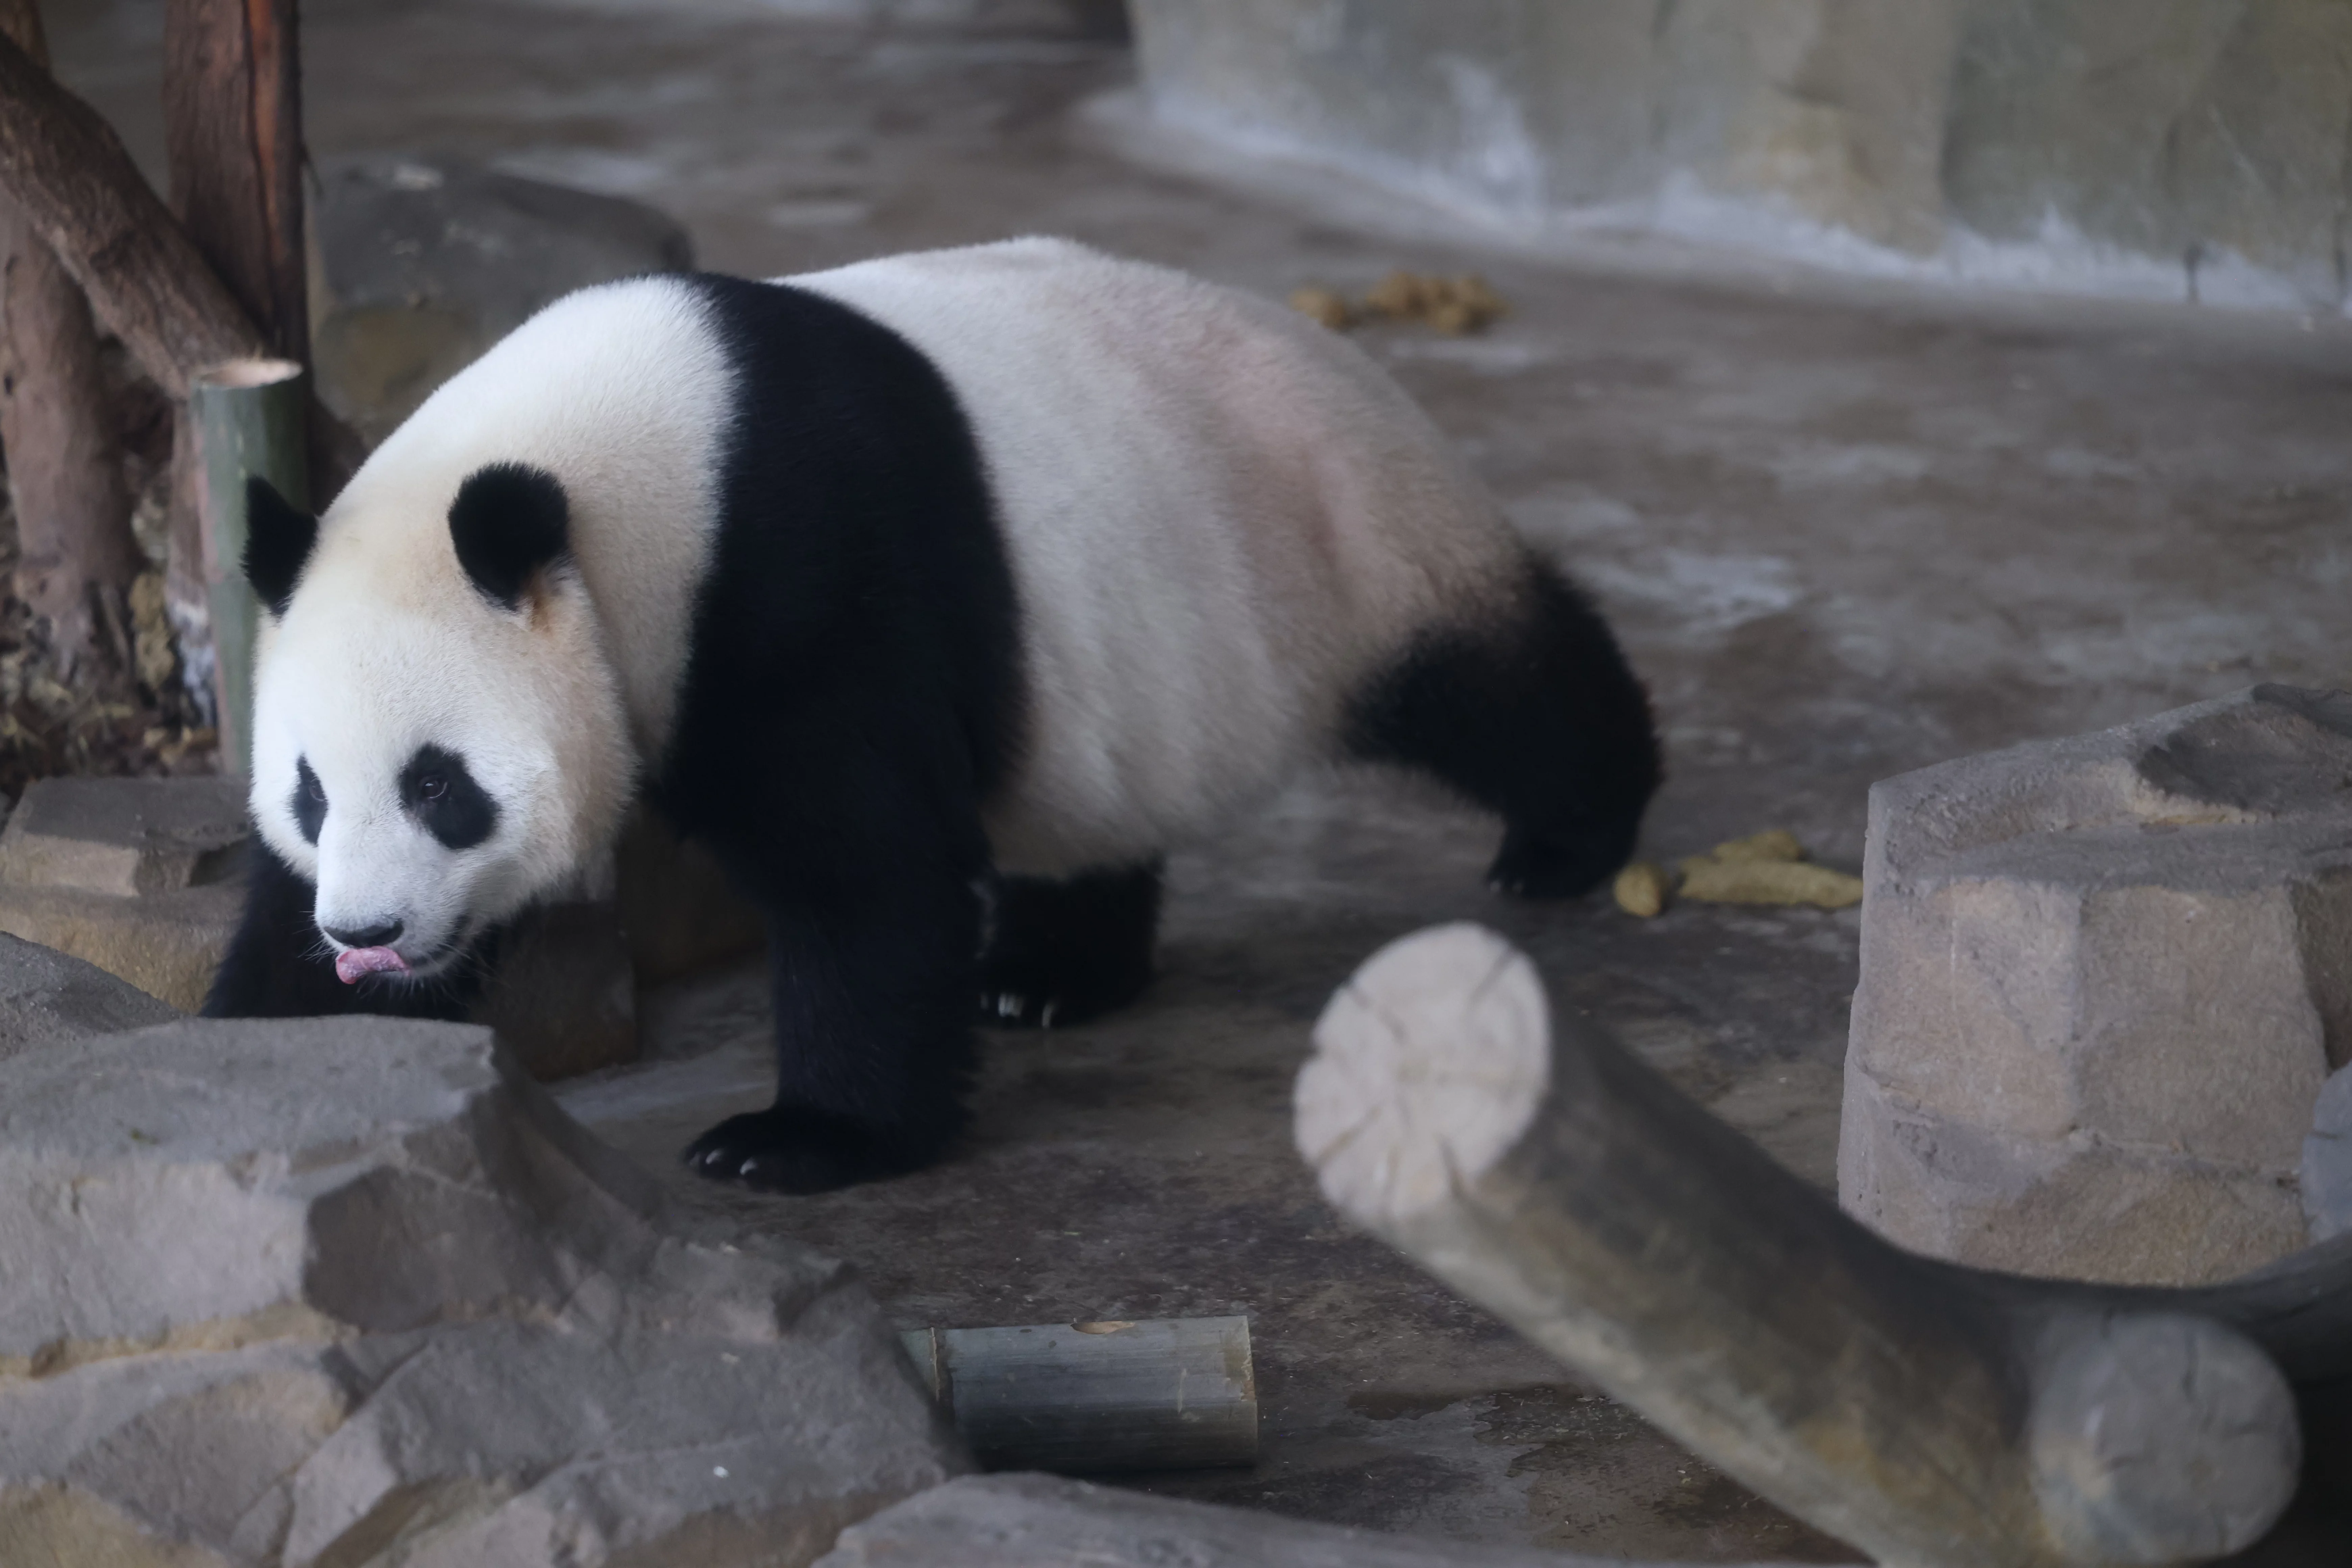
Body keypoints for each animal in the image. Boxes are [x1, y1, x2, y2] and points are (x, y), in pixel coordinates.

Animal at [204, 237, 1661, 1194]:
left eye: (441, 784)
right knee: (1091, 811)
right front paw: (266, 1053)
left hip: (1345, 537)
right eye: (312, 792)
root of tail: (1338, 349)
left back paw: (1570, 836)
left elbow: (862, 873)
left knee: (1497, 683)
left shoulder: (793, 568)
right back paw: (1050, 975)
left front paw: (798, 1139)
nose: (369, 935)